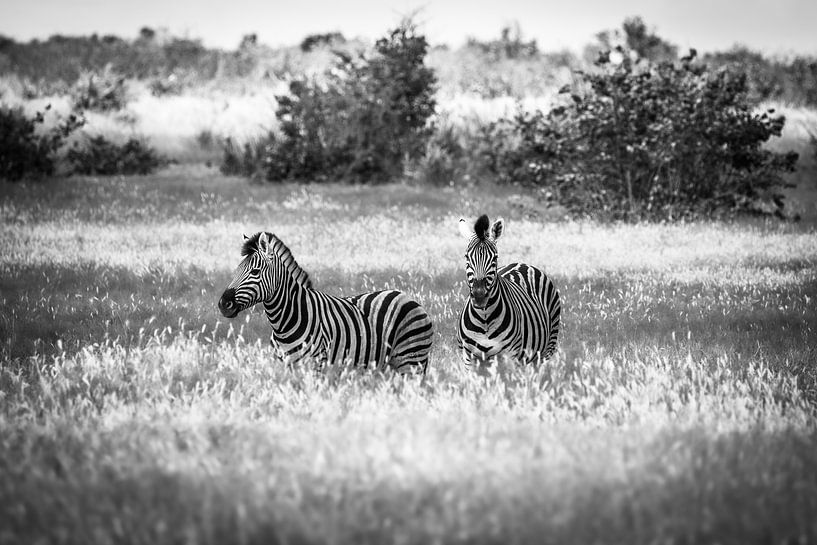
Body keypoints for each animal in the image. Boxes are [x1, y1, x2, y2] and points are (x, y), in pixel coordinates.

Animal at [218, 231, 434, 374]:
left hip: (412, 361)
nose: (223, 304)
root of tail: (407, 296)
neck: (285, 321)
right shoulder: (286, 366)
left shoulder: (316, 365)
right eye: (236, 271)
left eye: (255, 272)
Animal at [456, 214, 560, 367]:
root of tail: (522, 263)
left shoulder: (510, 356)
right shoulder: (468, 358)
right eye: (466, 257)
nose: (479, 295)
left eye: (495, 258)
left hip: (546, 350)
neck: (484, 318)